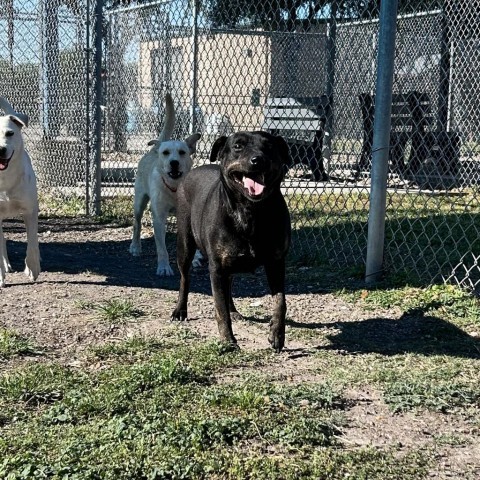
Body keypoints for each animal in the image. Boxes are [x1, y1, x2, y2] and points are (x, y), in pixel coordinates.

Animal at [129, 94, 201, 276]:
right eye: (166, 153)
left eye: (182, 152)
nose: (174, 162)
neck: (175, 188)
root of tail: (153, 150)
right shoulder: (159, 218)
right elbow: (162, 249)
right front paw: (164, 267)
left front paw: (195, 258)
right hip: (139, 202)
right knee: (137, 223)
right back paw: (135, 247)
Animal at [172, 131, 292, 352]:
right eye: (237, 146)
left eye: (269, 146)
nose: (258, 160)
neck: (250, 211)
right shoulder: (217, 267)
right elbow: (220, 310)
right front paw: (228, 340)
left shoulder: (276, 263)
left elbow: (281, 302)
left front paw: (276, 335)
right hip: (184, 244)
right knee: (185, 278)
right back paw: (180, 310)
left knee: (229, 283)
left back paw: (234, 310)